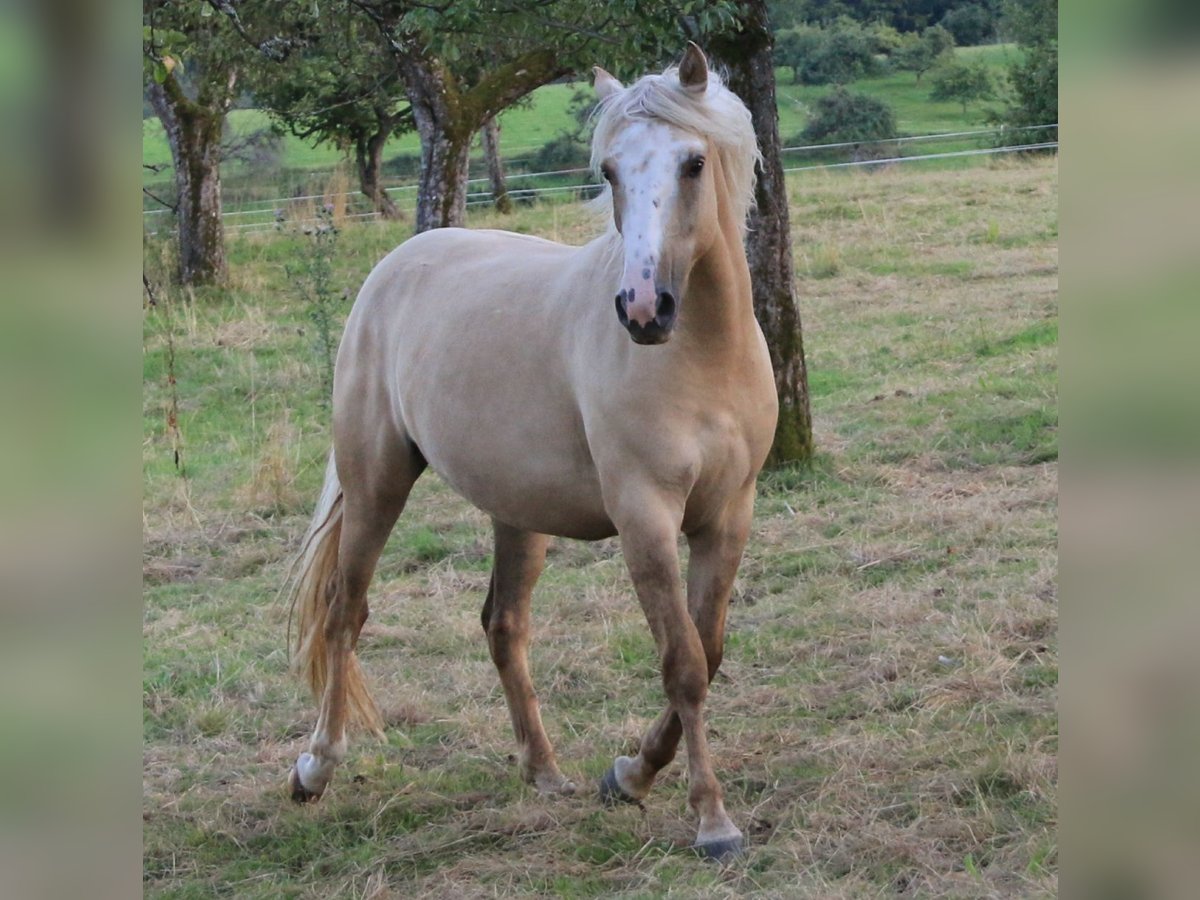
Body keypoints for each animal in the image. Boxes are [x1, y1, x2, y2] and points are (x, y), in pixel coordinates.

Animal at [288, 44, 777, 859]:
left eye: (694, 162)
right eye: (609, 169)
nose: (643, 310)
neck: (702, 360)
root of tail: (395, 266)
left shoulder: (727, 516)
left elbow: (707, 653)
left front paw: (629, 776)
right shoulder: (646, 519)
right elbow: (682, 664)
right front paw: (711, 821)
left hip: (517, 515)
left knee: (503, 626)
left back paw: (545, 772)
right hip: (377, 483)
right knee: (344, 612)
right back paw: (315, 769)